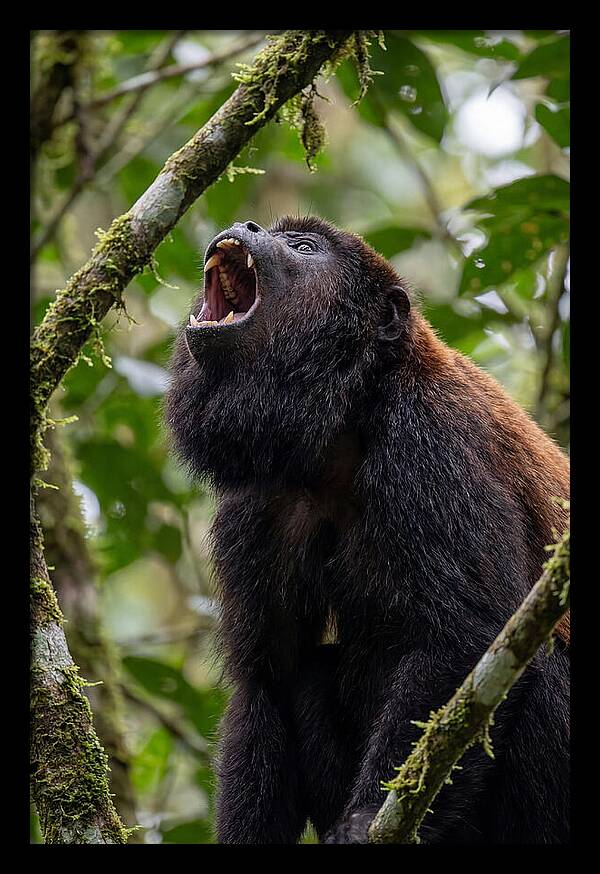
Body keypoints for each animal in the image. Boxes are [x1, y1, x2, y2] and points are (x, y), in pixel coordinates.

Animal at [165, 216, 569, 844]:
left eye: (303, 248)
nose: (247, 224)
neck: (346, 422)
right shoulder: (258, 502)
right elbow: (267, 680)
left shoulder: (429, 441)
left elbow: (467, 636)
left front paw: (361, 822)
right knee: (307, 673)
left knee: (543, 663)